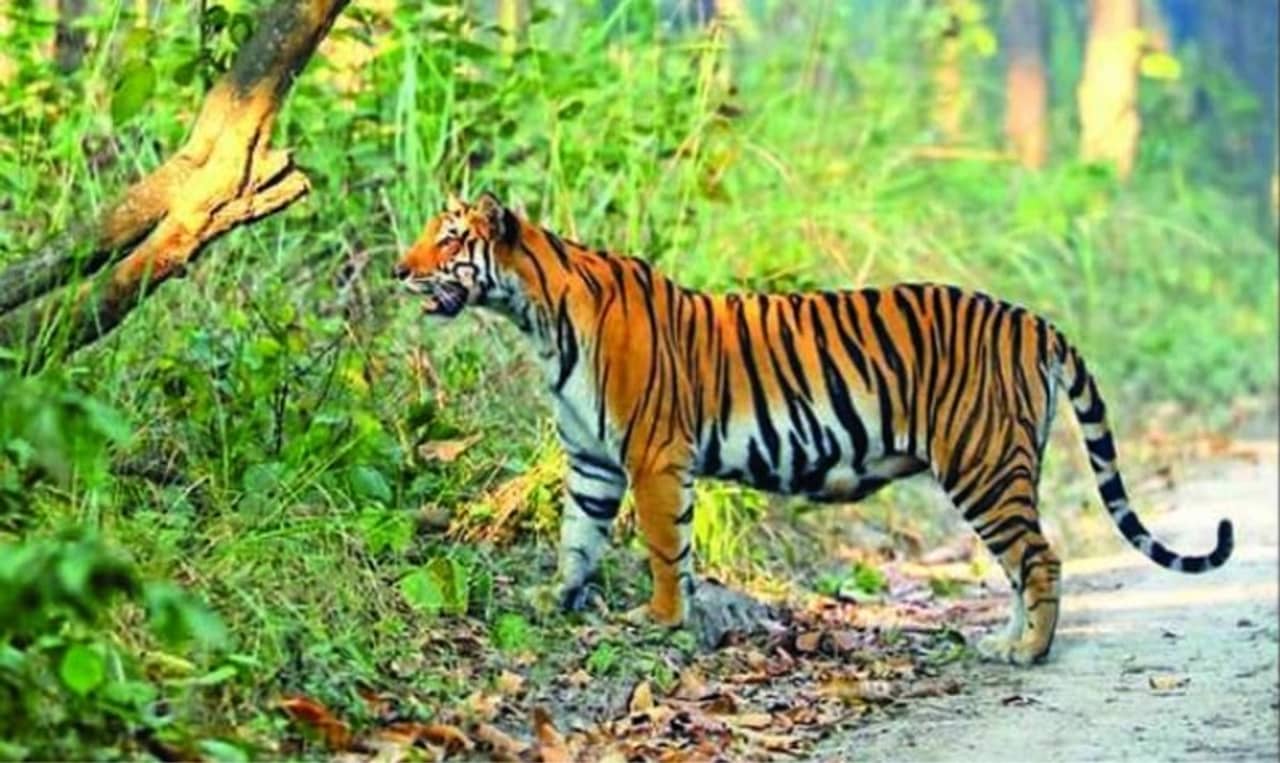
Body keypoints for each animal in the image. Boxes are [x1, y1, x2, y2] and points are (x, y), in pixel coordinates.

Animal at [393, 192, 1233, 665]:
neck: (534, 316)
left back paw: (1028, 651)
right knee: (1023, 561)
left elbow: (664, 547)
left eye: (449, 238)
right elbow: (579, 536)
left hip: (983, 462)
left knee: (1040, 557)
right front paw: (557, 600)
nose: (400, 269)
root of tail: (1031, 318)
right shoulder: (593, 462)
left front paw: (660, 619)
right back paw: (1005, 641)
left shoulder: (653, 456)